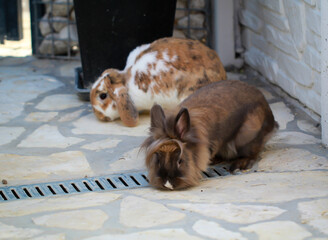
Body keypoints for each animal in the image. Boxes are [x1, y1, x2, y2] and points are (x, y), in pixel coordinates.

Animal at [142, 79, 278, 190]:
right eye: (157, 159)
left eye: (180, 161)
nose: (168, 184)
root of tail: (271, 119)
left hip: (247, 136)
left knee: (253, 153)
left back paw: (239, 165)